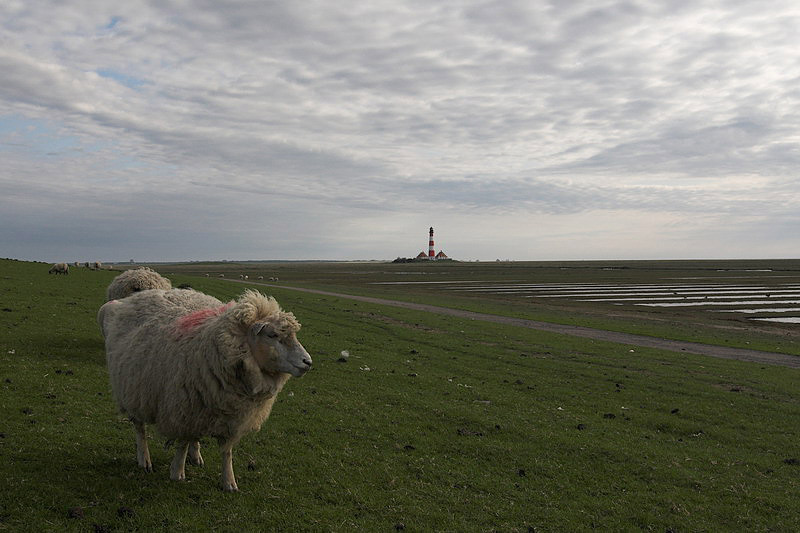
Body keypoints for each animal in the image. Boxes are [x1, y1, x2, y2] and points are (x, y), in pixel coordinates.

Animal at [97, 286, 312, 490]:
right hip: (133, 390)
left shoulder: (231, 416)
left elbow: (226, 452)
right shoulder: (182, 409)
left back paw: (195, 455)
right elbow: (182, 443)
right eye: (272, 335)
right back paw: (144, 459)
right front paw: (177, 471)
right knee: (140, 428)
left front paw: (229, 482)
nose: (308, 362)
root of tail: (135, 297)